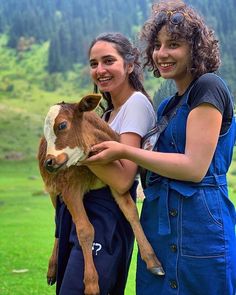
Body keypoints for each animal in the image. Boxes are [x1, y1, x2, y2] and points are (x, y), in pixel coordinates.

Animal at [38, 94, 164, 295]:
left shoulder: (116, 182)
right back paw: (52, 268)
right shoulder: (69, 188)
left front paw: (152, 259)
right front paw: (91, 283)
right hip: (52, 189)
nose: (48, 162)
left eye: (62, 125)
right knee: (57, 224)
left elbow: (132, 214)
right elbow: (85, 230)